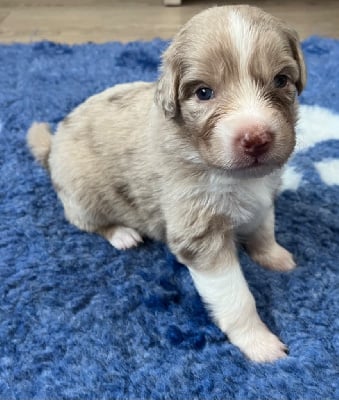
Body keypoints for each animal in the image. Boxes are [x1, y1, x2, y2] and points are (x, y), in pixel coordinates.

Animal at [27, 5, 306, 362]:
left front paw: (273, 256)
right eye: (203, 92)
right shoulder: (199, 233)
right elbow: (237, 297)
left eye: (281, 80)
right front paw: (259, 342)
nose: (256, 138)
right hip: (82, 194)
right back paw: (122, 234)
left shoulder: (262, 194)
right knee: (87, 222)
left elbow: (264, 229)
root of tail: (51, 148)